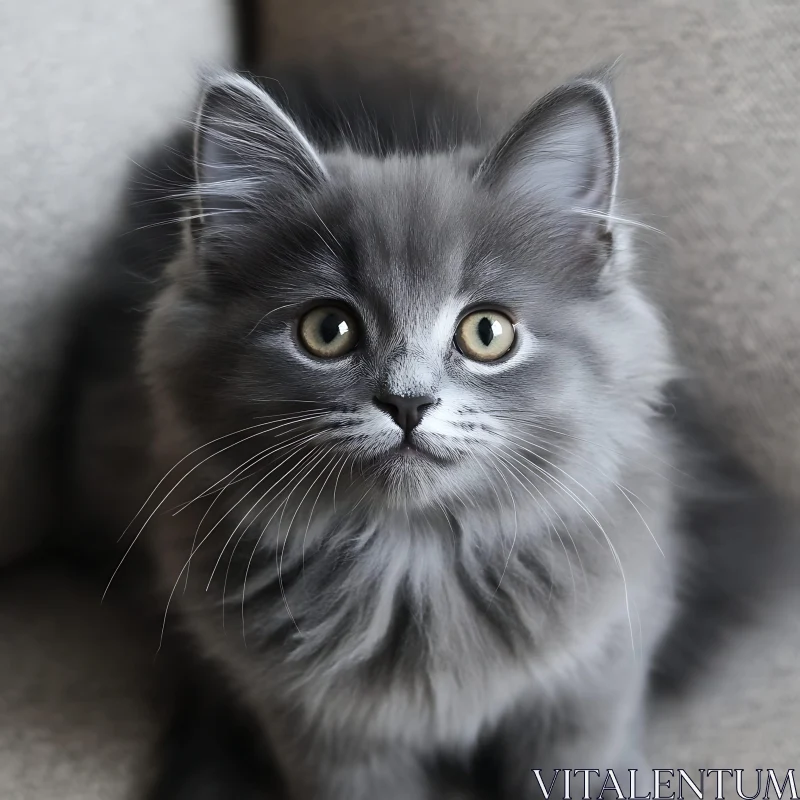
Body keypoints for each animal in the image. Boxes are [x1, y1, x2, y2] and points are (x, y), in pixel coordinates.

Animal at [67, 70, 788, 800]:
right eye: (327, 330)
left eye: (487, 333)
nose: (407, 402)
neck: (417, 561)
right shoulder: (320, 730)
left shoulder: (593, 675)